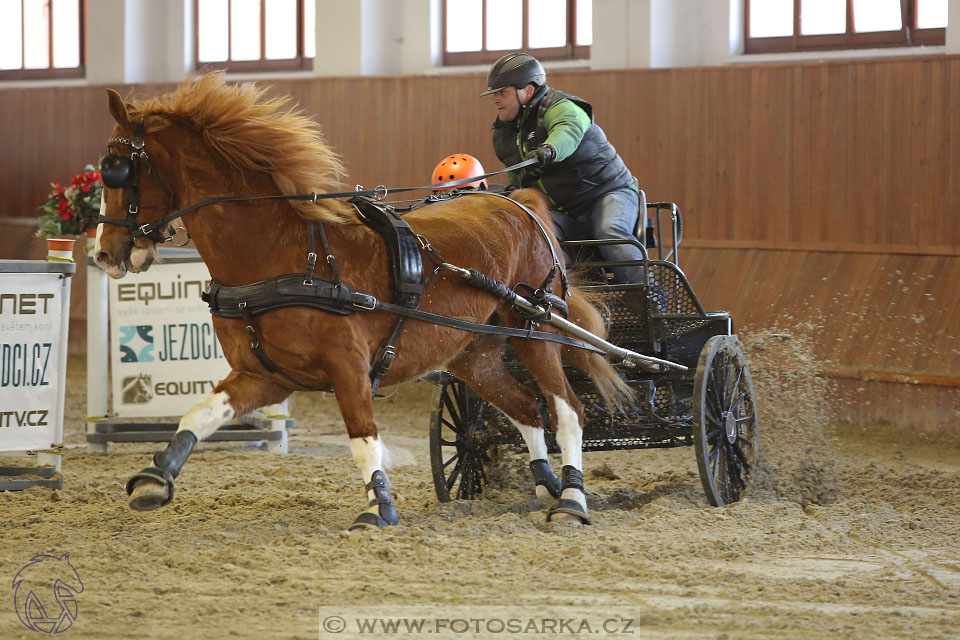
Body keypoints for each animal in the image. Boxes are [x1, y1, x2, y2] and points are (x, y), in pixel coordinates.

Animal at [95, 72, 632, 528]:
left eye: (115, 170)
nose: (105, 253)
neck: (285, 254)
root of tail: (520, 202)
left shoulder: (347, 364)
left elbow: (362, 436)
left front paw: (378, 506)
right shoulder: (264, 374)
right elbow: (199, 415)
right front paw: (154, 478)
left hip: (536, 330)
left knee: (567, 411)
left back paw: (571, 499)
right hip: (473, 353)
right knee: (525, 407)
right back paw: (545, 485)